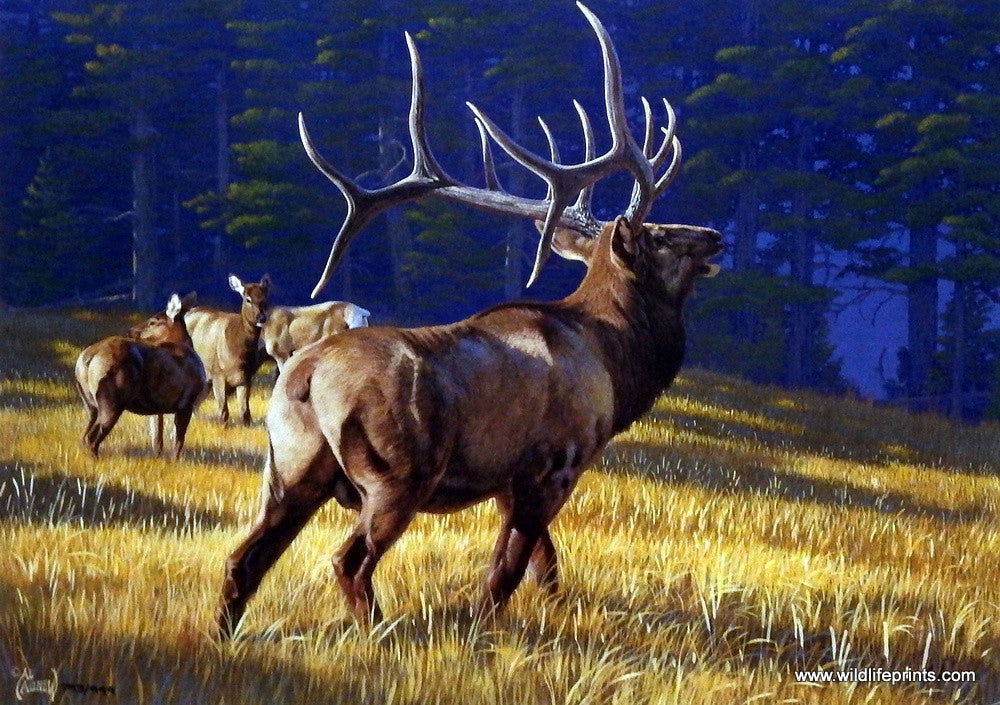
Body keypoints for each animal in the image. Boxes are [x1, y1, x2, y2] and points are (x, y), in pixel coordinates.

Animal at [74, 292, 206, 459]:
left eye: (152, 321)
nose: (129, 331)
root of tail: (87, 358)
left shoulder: (159, 407)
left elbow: (157, 440)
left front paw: (159, 459)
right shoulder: (187, 402)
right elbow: (178, 440)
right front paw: (175, 461)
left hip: (90, 403)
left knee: (84, 435)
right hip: (111, 399)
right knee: (91, 438)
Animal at [184, 274, 270, 426]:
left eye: (264, 299)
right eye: (247, 299)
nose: (261, 317)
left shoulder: (246, 377)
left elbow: (245, 413)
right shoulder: (218, 373)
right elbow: (223, 412)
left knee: (195, 404)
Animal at [217, 2, 722, 638]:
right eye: (659, 235)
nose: (715, 235)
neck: (614, 362)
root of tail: (303, 377)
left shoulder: (511, 481)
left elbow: (545, 567)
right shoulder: (554, 465)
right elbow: (506, 572)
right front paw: (484, 633)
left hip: (287, 466)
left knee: (243, 557)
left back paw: (222, 636)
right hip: (396, 472)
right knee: (348, 560)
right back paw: (381, 636)